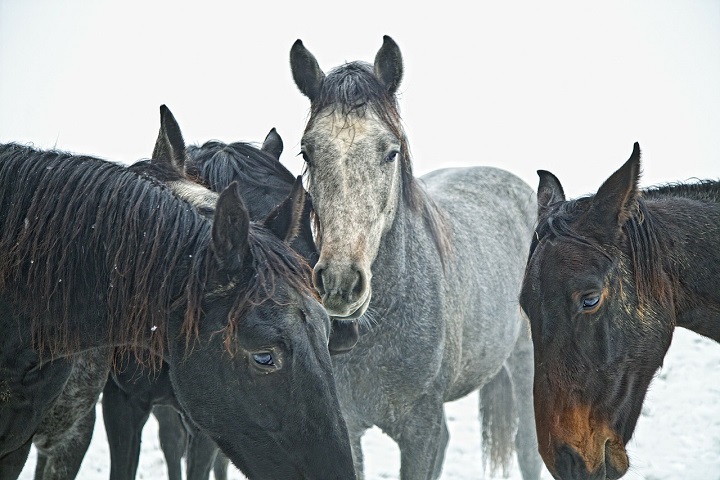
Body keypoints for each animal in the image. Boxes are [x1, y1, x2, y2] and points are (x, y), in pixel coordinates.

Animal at [290, 36, 543, 479]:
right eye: (307, 153)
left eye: (391, 152)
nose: (340, 284)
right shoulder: (349, 428)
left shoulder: (420, 429)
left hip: (524, 360)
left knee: (528, 451)